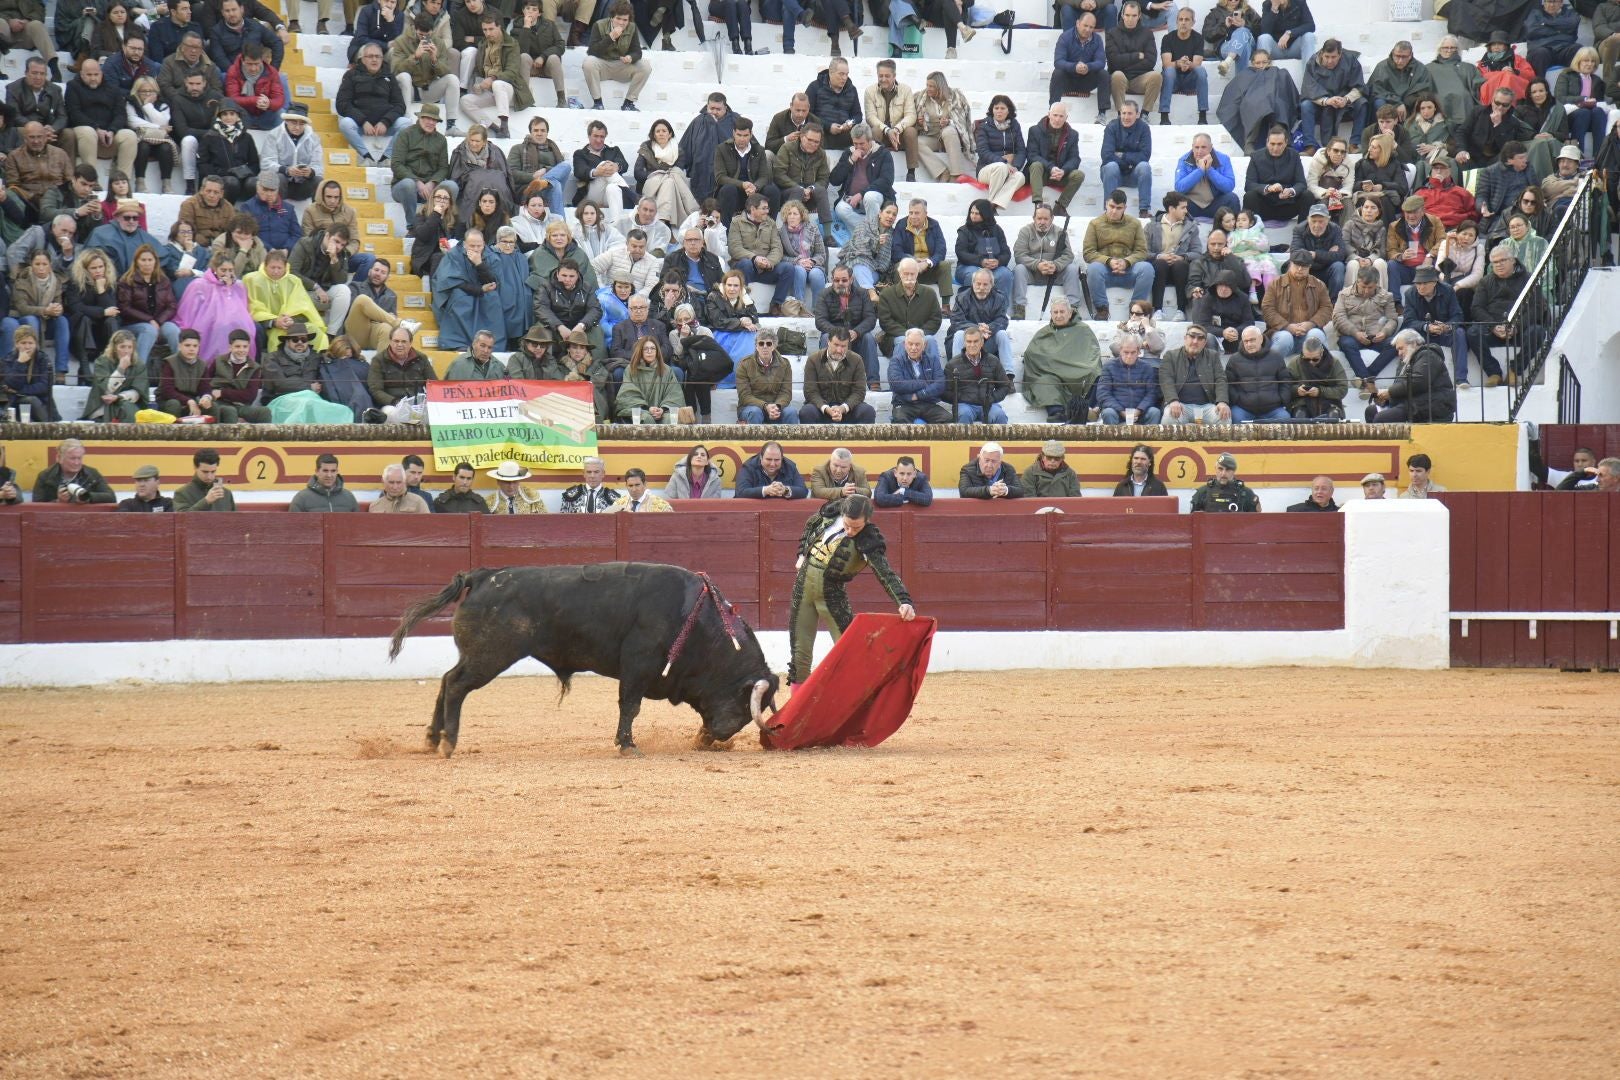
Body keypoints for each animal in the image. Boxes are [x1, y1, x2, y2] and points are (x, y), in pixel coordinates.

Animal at [385, 563, 777, 757]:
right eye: (743, 706)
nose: (714, 738)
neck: (696, 620)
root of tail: (482, 576)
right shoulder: (638, 664)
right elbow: (629, 705)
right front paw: (627, 746)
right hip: (490, 655)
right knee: (455, 684)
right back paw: (448, 743)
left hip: (478, 654)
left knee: (445, 680)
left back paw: (431, 739)